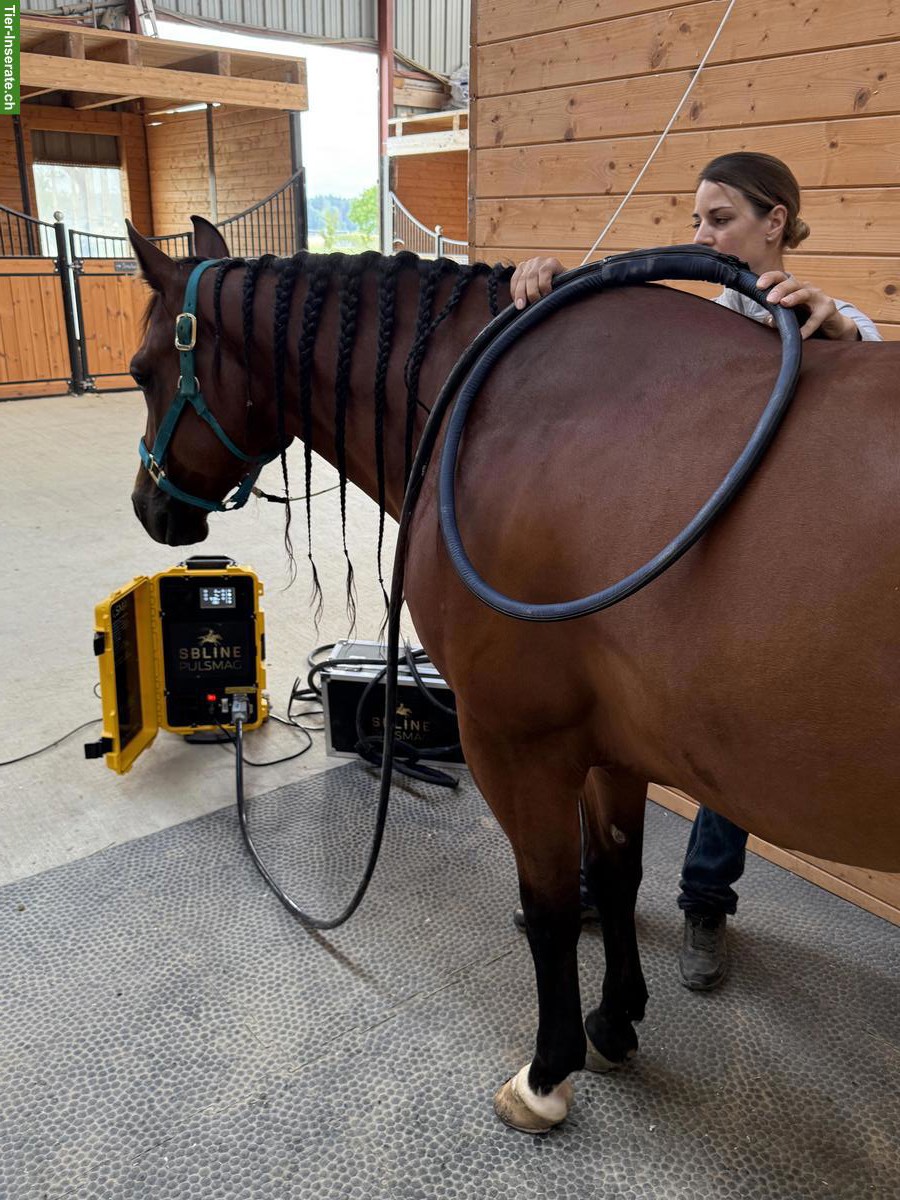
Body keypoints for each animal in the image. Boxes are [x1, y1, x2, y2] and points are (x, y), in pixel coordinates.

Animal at [126, 217, 900, 1133]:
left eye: (139, 370)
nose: (148, 506)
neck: (498, 409)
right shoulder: (613, 747)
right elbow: (615, 872)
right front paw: (615, 1019)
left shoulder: (513, 743)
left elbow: (552, 905)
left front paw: (548, 1070)